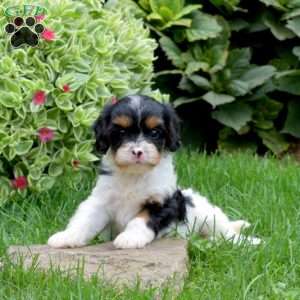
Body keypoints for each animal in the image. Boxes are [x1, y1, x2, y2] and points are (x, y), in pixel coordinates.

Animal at [48, 94, 262, 248]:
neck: (134, 175)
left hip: (209, 216)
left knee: (227, 233)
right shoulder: (101, 200)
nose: (137, 151)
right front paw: (66, 237)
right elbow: (84, 219)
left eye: (154, 133)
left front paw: (130, 238)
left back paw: (249, 242)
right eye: (121, 132)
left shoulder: (162, 202)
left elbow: (141, 219)